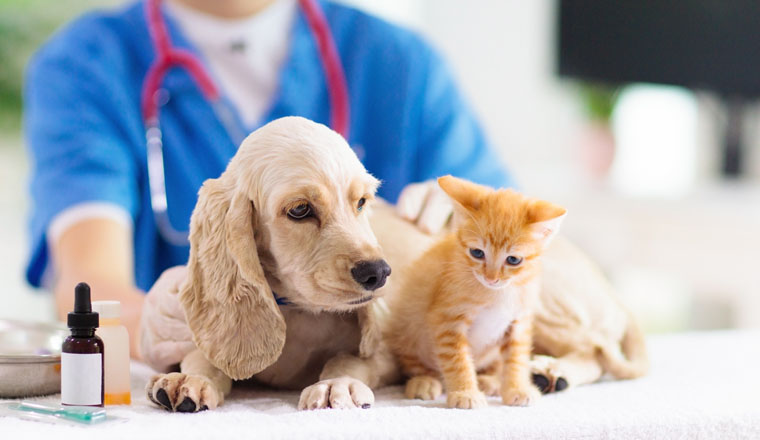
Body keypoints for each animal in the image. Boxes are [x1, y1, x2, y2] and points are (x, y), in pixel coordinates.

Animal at [388, 175, 568, 410]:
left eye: (513, 259)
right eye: (477, 253)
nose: (491, 278)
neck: (498, 294)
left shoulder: (518, 322)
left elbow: (516, 358)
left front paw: (517, 388)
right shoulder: (447, 321)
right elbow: (457, 360)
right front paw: (465, 393)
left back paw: (489, 380)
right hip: (408, 326)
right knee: (415, 361)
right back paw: (424, 381)